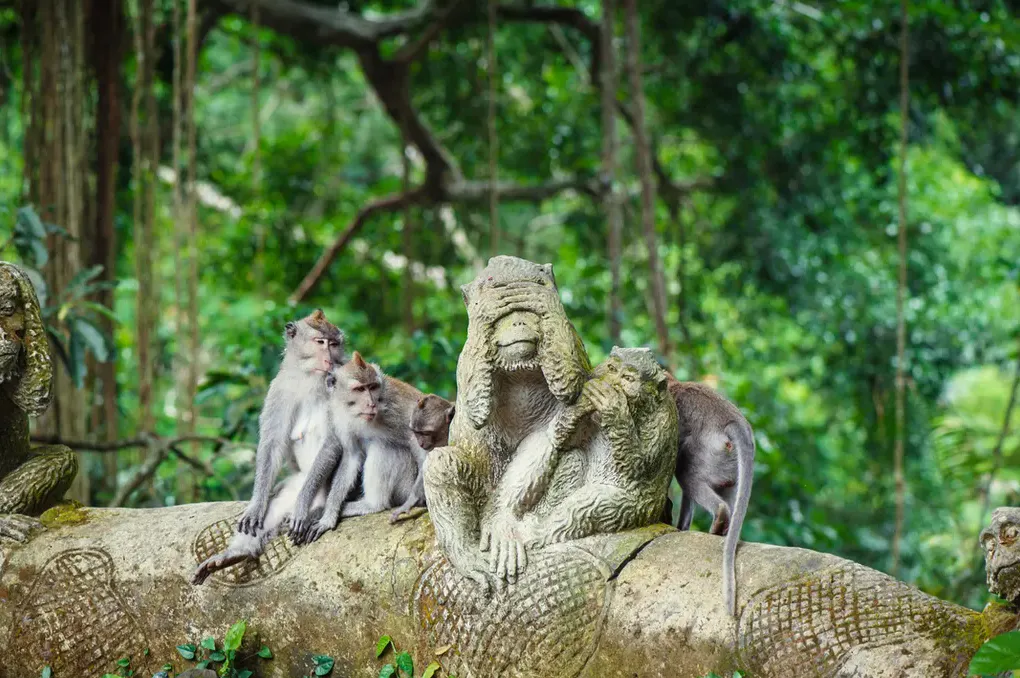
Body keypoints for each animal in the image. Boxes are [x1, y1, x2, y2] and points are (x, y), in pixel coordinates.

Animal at [191, 310, 345, 585]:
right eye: (320, 342)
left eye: (334, 344)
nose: (329, 359)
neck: (310, 379)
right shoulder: (279, 388)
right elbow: (272, 445)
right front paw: (255, 506)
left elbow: (332, 443)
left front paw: (301, 508)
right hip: (295, 482)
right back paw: (237, 553)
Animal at [288, 351, 428, 544]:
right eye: (360, 389)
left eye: (373, 387)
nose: (371, 403)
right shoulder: (339, 417)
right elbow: (351, 457)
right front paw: (328, 517)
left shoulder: (396, 408)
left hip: (406, 485)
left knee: (384, 447)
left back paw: (374, 505)